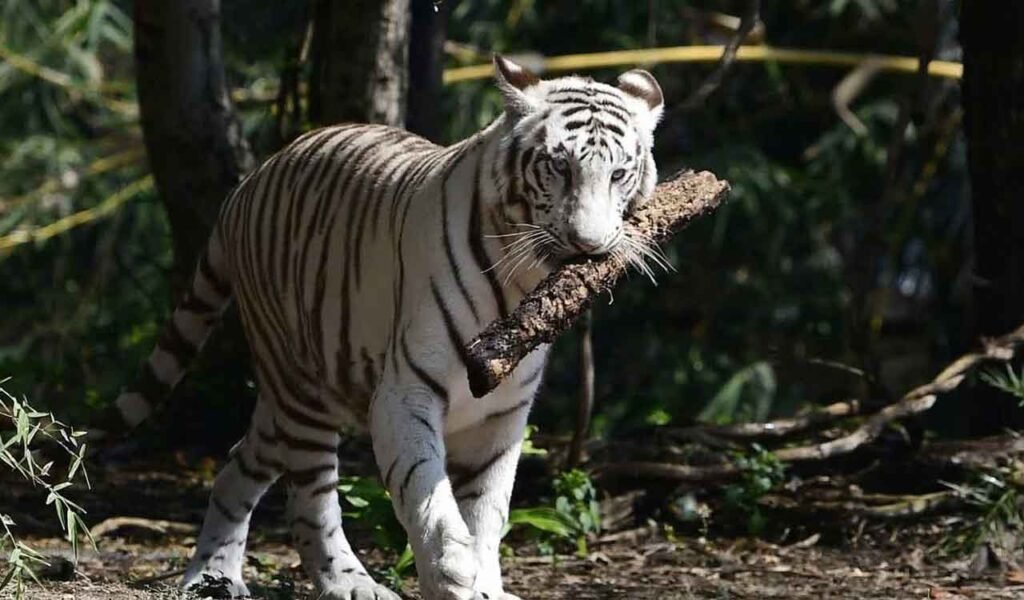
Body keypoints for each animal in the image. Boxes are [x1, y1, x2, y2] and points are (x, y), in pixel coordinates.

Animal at [111, 55, 664, 600]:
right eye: (559, 165)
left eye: (619, 173)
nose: (587, 244)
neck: (522, 283)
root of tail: (248, 183)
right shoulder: (407, 390)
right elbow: (424, 488)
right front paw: (450, 570)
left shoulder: (503, 415)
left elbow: (488, 508)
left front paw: (484, 580)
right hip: (301, 390)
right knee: (311, 500)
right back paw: (351, 583)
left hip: (293, 397)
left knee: (235, 465)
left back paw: (213, 575)